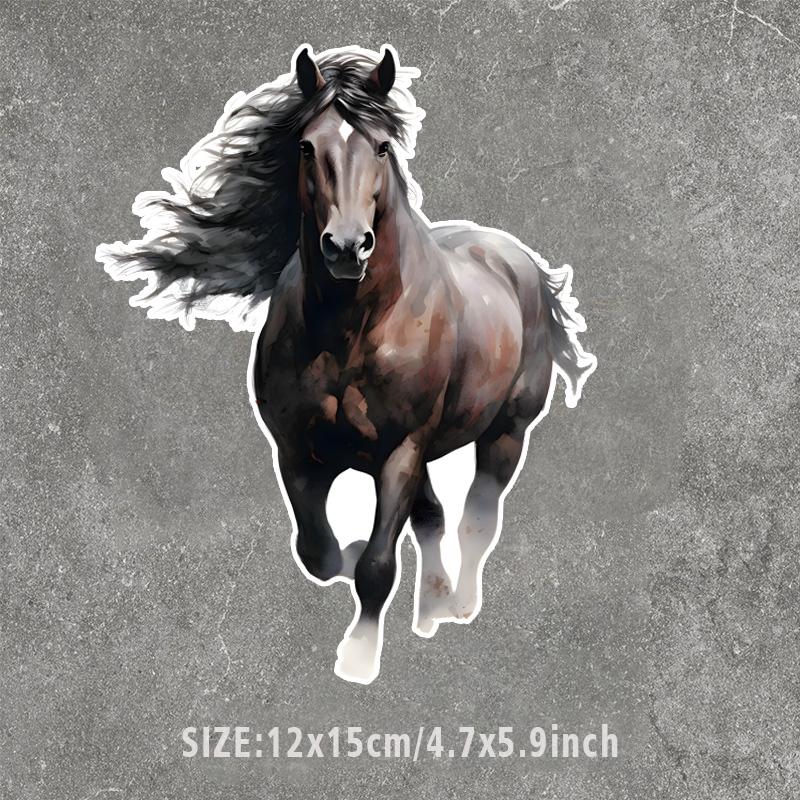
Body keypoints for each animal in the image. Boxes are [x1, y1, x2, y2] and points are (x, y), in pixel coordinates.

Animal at [96, 45, 597, 684]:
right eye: (307, 146)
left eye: (381, 146)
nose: (345, 247)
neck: (351, 331)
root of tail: (521, 262)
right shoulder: (297, 452)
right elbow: (318, 551)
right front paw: (349, 561)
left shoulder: (400, 452)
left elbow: (378, 565)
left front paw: (358, 657)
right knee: (433, 518)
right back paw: (432, 607)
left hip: (505, 433)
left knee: (475, 520)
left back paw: (459, 605)